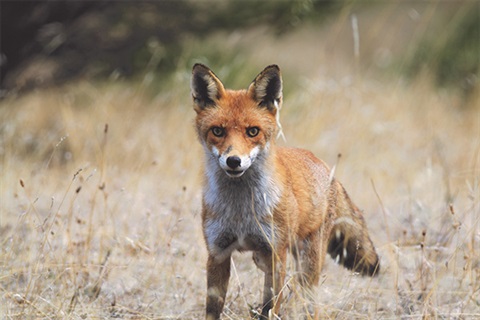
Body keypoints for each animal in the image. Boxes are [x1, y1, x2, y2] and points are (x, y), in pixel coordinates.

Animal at [189, 63, 380, 318]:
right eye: (218, 131)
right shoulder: (217, 253)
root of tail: (324, 166)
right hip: (265, 256)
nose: (233, 161)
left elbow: (270, 308)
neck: (241, 212)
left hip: (308, 263)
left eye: (252, 131)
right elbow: (213, 309)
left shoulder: (276, 255)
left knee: (310, 301)